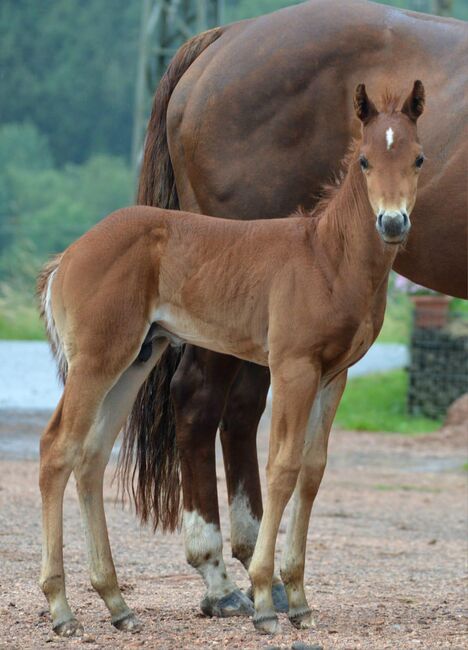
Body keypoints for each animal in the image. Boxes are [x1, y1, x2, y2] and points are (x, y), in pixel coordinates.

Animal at [37, 82, 424, 632]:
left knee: (89, 456)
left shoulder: (335, 375)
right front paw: (264, 601)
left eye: (418, 158)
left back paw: (117, 604)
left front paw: (300, 600)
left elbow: (312, 470)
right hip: (96, 360)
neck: (328, 258)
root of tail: (68, 256)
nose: (392, 222)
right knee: (57, 449)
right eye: (365, 160)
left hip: (135, 360)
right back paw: (61, 608)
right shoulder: (292, 367)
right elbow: (282, 466)